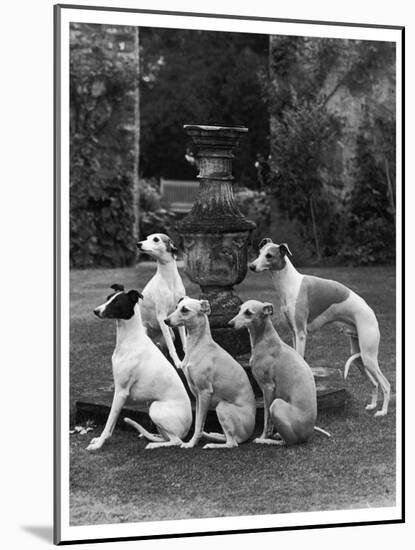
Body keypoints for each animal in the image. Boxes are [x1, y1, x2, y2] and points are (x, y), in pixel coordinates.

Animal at [88, 284, 193, 452]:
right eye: (108, 298)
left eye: (116, 302)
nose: (96, 311)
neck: (130, 340)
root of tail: (187, 428)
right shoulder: (119, 390)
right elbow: (111, 425)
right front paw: (100, 439)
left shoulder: (121, 392)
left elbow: (109, 420)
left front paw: (99, 444)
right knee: (166, 437)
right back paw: (151, 437)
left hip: (155, 408)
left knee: (176, 441)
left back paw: (154, 444)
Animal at [137, 234, 186, 370]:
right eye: (147, 238)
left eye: (155, 239)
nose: (138, 244)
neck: (169, 279)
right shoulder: (161, 316)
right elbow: (172, 347)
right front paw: (178, 363)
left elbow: (184, 342)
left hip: (170, 333)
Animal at [164, 298, 255, 448]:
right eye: (176, 307)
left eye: (185, 309)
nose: (165, 320)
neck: (198, 346)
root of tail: (249, 434)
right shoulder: (197, 396)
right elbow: (198, 424)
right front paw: (196, 439)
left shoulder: (204, 393)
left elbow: (198, 424)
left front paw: (190, 444)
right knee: (227, 438)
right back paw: (213, 435)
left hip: (222, 407)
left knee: (232, 443)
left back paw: (212, 445)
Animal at [229, 302, 330, 448]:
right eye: (239, 309)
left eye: (248, 312)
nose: (229, 324)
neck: (266, 340)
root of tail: (307, 435)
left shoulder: (268, 388)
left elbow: (267, 420)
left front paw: (263, 436)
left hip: (276, 405)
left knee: (287, 442)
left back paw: (266, 441)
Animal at [250, 238, 394, 418]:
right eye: (259, 252)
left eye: (269, 255)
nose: (251, 266)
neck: (290, 284)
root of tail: (371, 312)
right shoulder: (293, 333)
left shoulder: (301, 333)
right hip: (359, 357)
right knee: (374, 382)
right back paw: (373, 405)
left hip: (369, 355)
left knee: (386, 384)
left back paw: (382, 411)